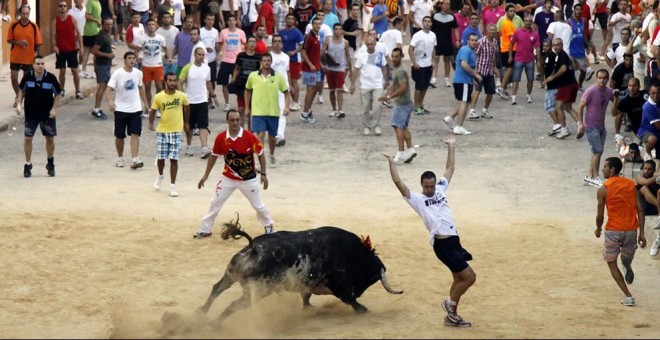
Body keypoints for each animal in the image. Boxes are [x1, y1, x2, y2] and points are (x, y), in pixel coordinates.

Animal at [199, 215, 402, 324]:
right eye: (372, 278)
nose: (358, 292)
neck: (353, 253)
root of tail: (254, 248)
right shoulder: (339, 287)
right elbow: (350, 301)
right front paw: (364, 310)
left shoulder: (309, 284)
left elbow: (306, 296)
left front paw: (308, 309)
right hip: (258, 291)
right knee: (234, 305)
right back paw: (215, 324)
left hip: (231, 274)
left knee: (217, 288)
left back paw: (200, 314)